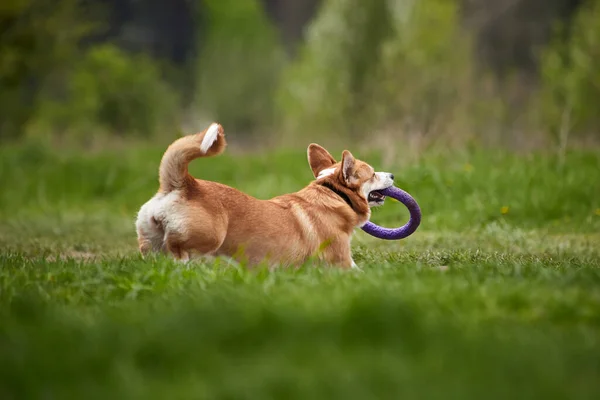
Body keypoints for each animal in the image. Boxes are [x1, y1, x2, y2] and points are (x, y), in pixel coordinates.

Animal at [135, 122, 394, 268]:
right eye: (372, 174)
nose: (392, 174)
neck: (333, 194)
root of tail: (183, 182)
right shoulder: (342, 261)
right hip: (210, 237)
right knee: (179, 250)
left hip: (150, 242)